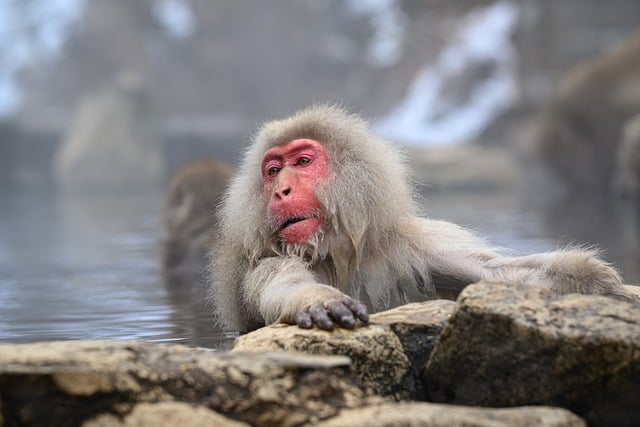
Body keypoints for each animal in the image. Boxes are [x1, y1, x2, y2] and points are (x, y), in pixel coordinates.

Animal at [209, 104, 639, 333]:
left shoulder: (412, 246)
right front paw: (318, 299)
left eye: (301, 162)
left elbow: (495, 274)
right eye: (272, 171)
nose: (280, 190)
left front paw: (594, 281)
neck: (337, 255)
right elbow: (283, 287)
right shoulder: (266, 262)